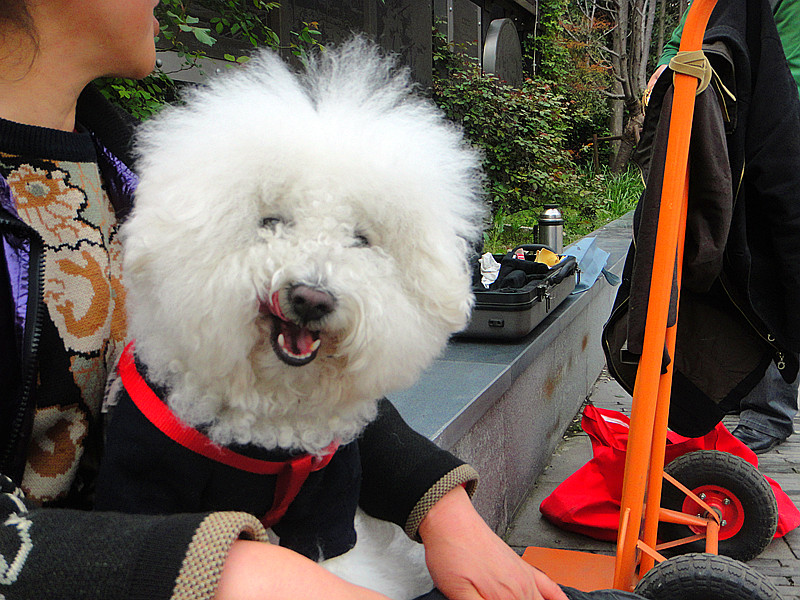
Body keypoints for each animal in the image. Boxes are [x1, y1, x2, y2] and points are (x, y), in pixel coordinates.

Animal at [101, 39, 488, 596]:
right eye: (271, 222)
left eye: (361, 238)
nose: (312, 298)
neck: (270, 420)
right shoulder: (145, 479)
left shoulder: (327, 499)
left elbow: (334, 560)